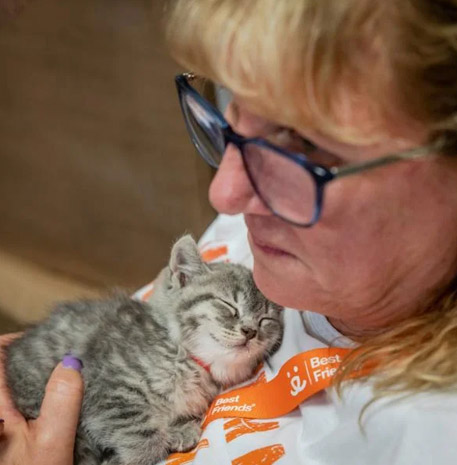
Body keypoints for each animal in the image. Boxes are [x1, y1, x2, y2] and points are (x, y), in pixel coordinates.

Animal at [5, 236, 284, 464]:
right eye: (229, 305)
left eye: (265, 320)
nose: (250, 331)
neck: (189, 361)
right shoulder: (107, 388)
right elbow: (141, 436)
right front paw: (145, 451)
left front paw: (180, 430)